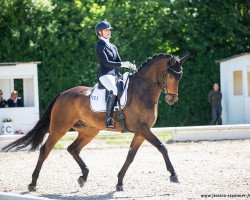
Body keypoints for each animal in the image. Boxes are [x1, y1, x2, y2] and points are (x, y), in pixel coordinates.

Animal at [2, 52, 188, 191]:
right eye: (171, 75)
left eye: (180, 77)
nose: (172, 99)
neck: (142, 91)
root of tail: (63, 94)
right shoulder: (142, 129)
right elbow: (162, 147)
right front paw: (174, 175)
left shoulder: (141, 131)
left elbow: (130, 156)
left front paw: (119, 182)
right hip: (59, 128)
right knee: (45, 150)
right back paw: (33, 184)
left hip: (89, 130)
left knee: (73, 149)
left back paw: (83, 176)